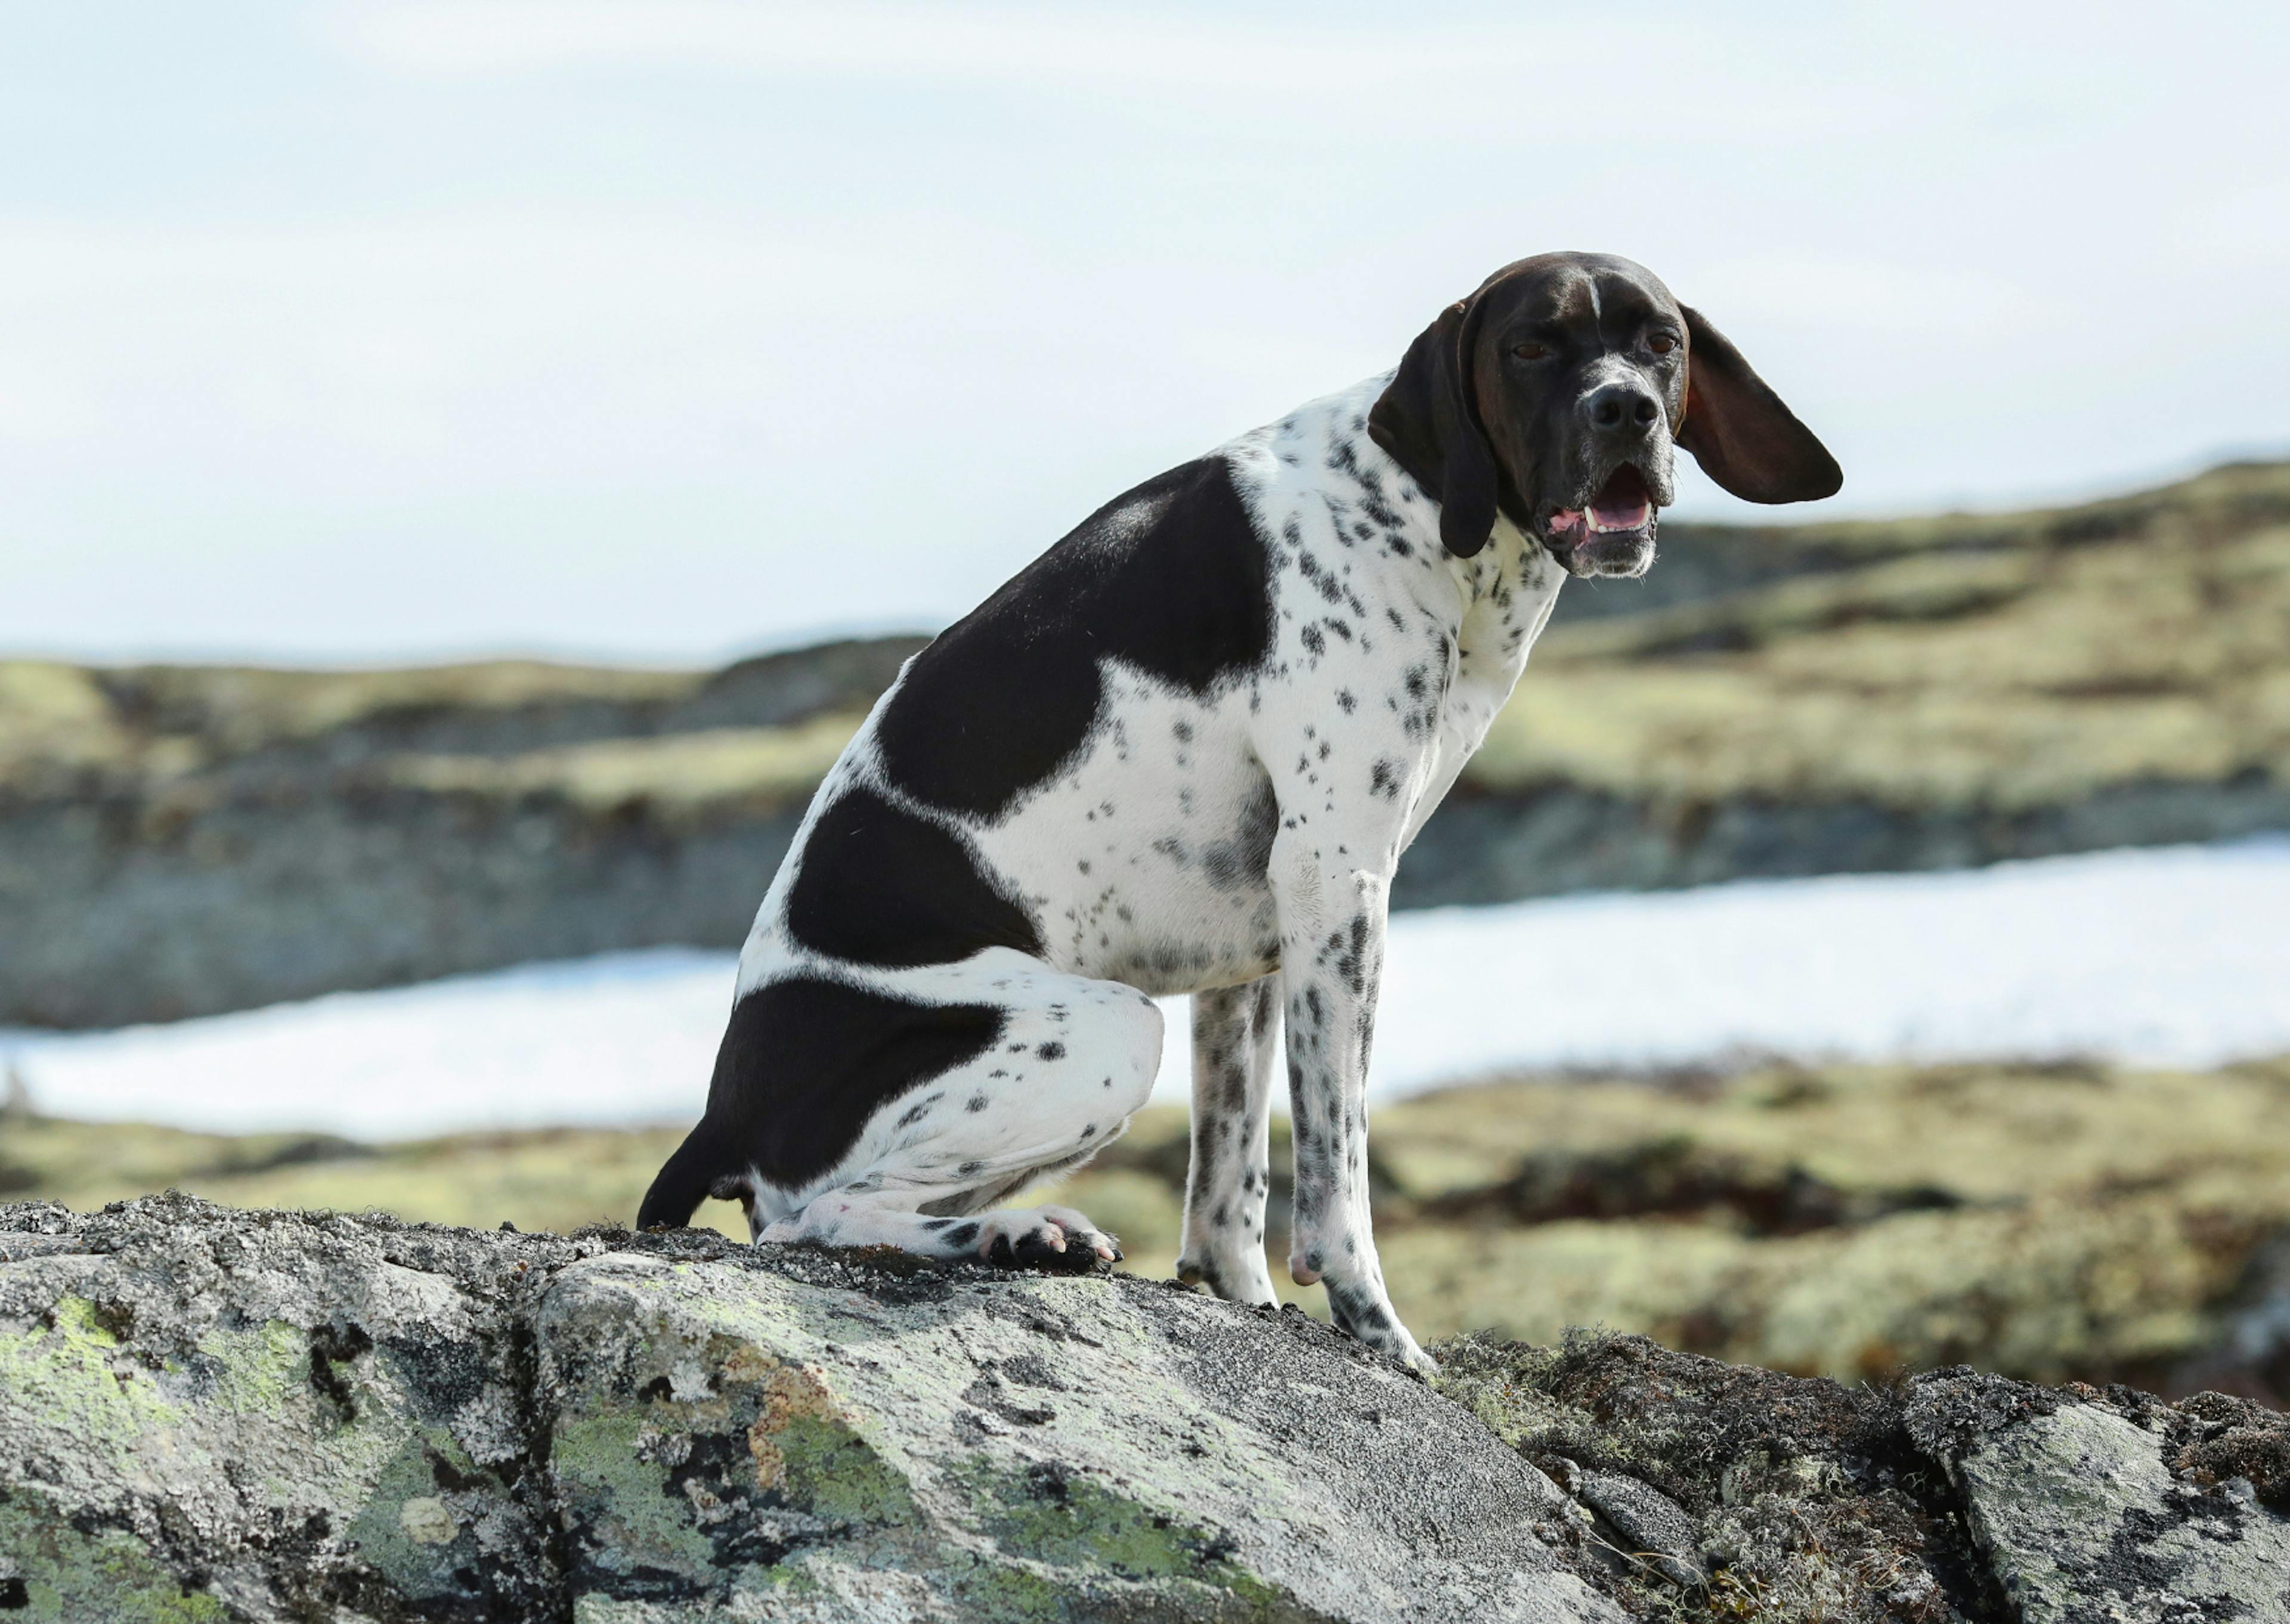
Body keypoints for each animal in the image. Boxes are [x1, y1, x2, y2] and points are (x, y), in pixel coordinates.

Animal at [641, 249, 1841, 1365]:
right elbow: (1339, 1171)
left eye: (1661, 344)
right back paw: (1017, 1232)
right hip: (1104, 1028)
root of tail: (722, 1112)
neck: (1412, 506)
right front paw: (1384, 1339)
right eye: (1531, 346)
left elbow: (1229, 1186)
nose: (1624, 409)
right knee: (818, 1216)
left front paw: (1249, 1303)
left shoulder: (1261, 942)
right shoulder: (1338, 883)